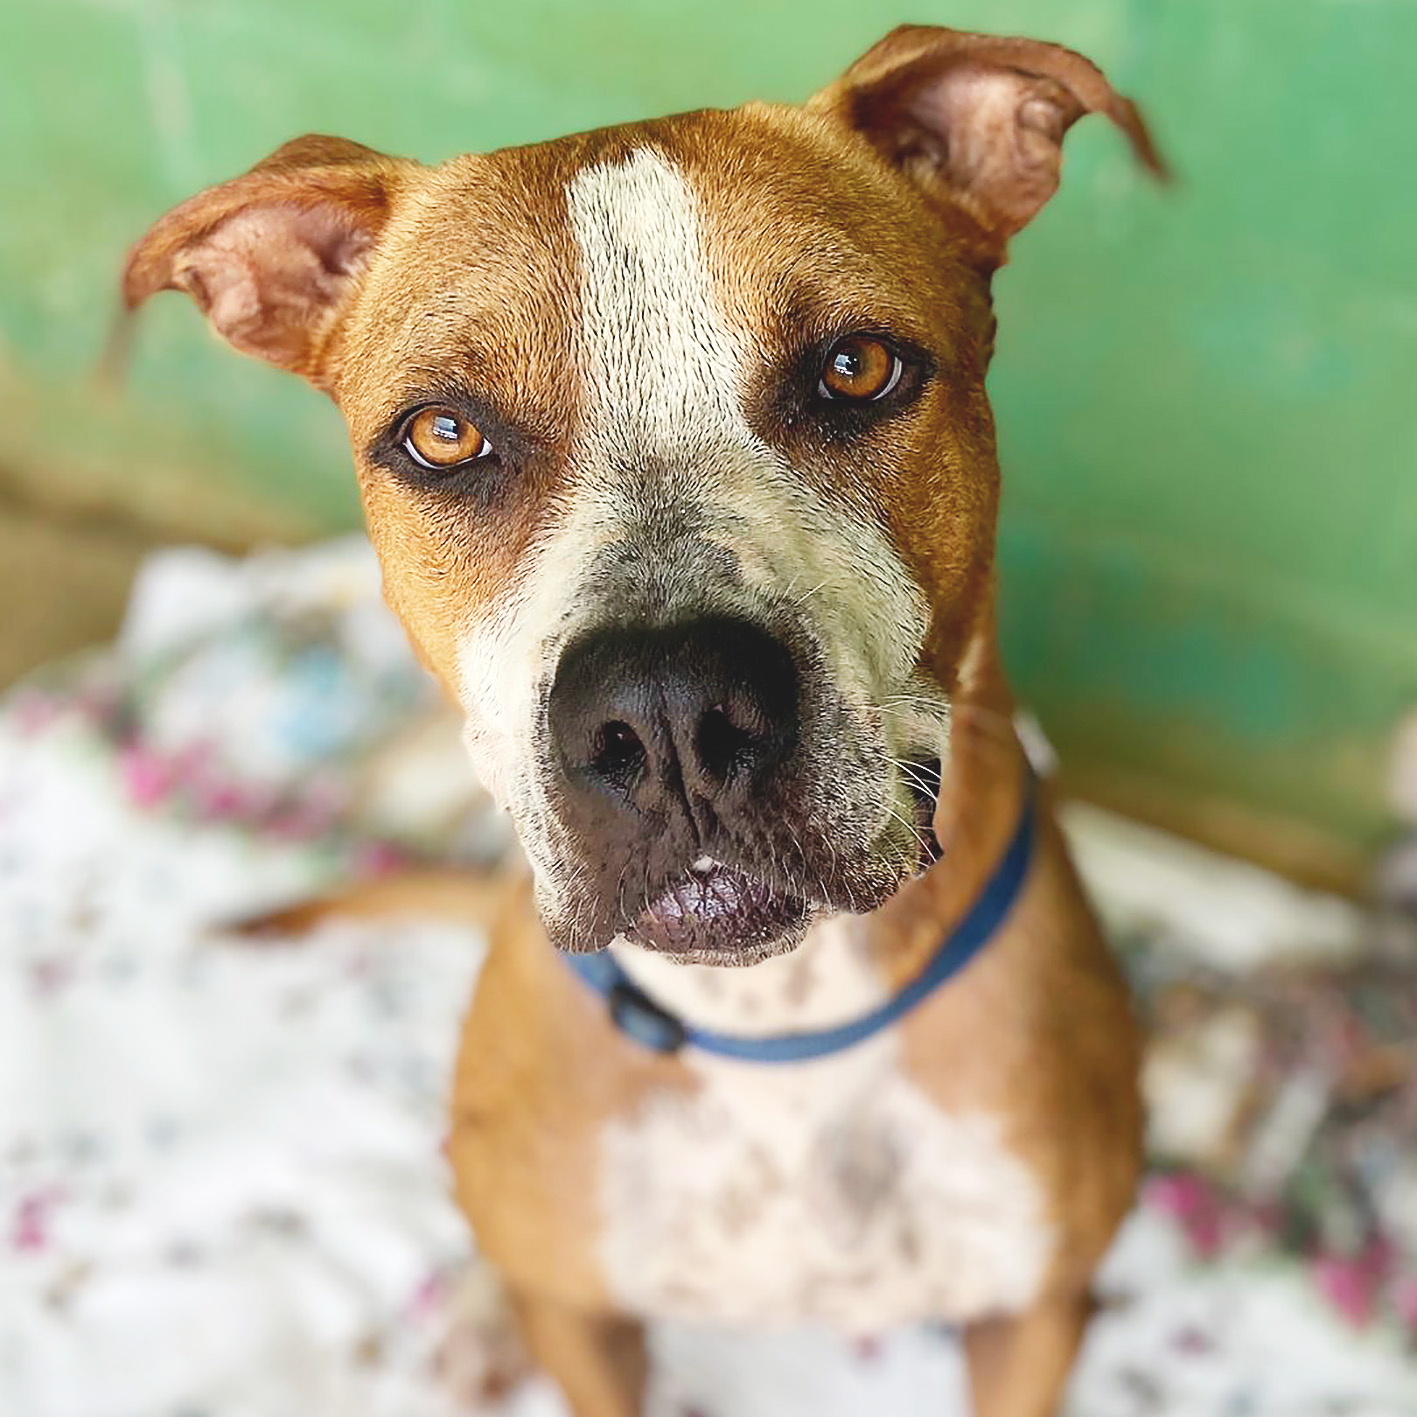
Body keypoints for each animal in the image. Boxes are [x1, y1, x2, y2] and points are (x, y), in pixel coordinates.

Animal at [124, 25, 1163, 1416]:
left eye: (857, 368)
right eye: (443, 434)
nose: (667, 710)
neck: (776, 1038)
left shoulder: (1034, 1314)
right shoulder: (589, 1324)